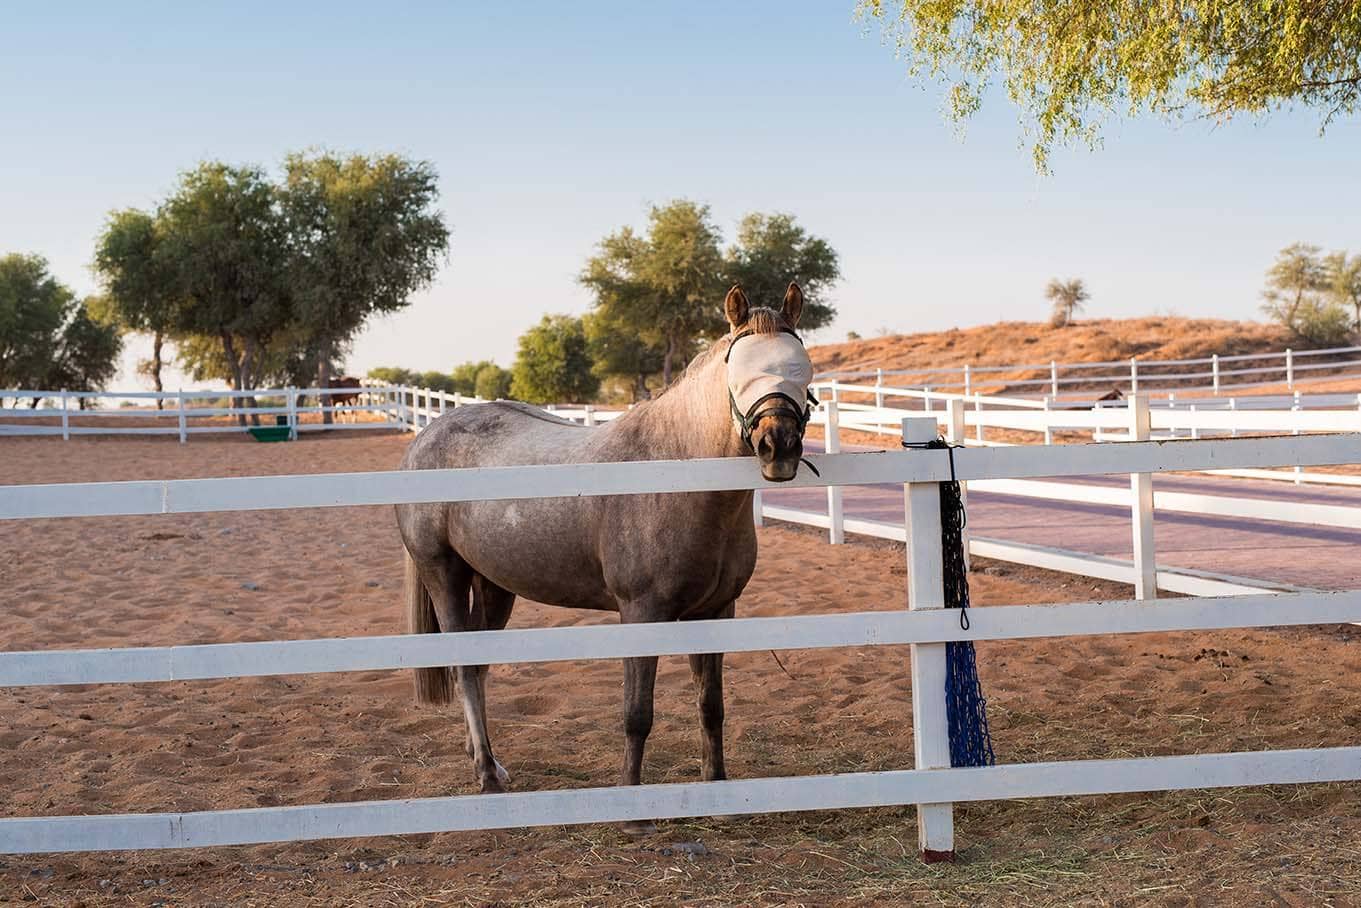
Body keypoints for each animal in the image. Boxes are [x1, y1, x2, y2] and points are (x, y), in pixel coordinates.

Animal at [395, 283, 814, 833]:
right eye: (739, 373)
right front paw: (634, 811)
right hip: (442, 571)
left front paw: (716, 787)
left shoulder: (716, 612)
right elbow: (638, 713)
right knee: (465, 669)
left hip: (493, 584)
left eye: (802, 370)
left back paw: (485, 759)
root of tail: (425, 438)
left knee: (480, 668)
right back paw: (485, 773)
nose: (778, 444)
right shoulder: (641, 613)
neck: (674, 472)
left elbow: (711, 706)